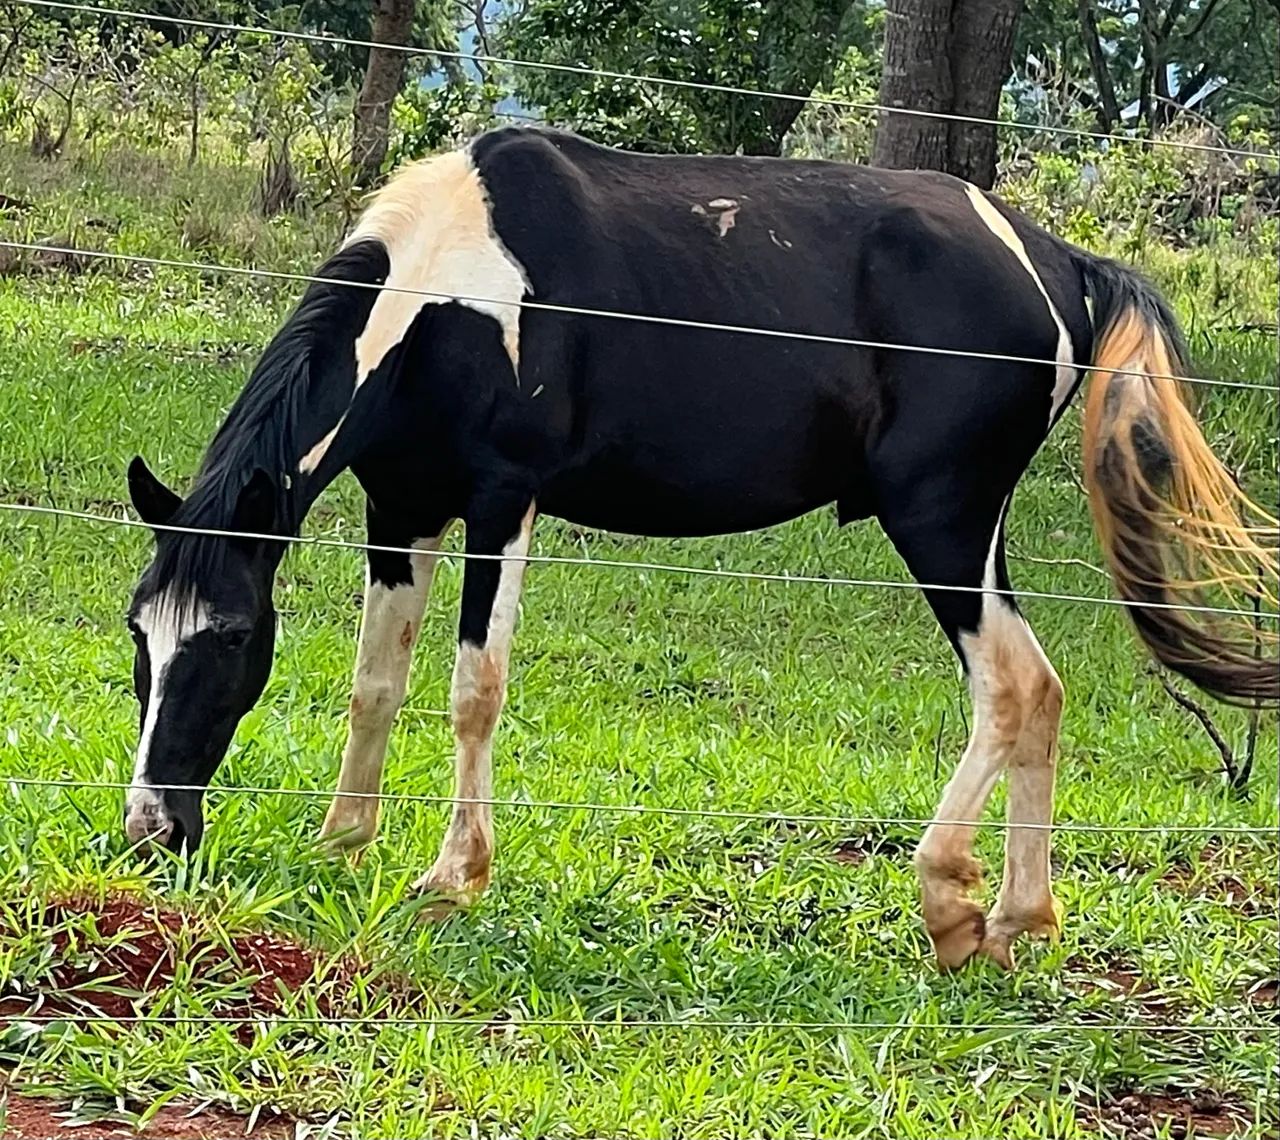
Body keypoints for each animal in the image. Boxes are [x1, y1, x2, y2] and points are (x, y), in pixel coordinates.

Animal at [123, 126, 1277, 971]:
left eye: (230, 638)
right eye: (141, 635)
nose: (152, 830)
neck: (448, 288)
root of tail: (1056, 262)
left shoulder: (503, 503)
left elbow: (472, 691)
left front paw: (452, 879)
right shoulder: (400, 510)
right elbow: (376, 681)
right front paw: (341, 841)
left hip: (938, 521)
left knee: (1011, 686)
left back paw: (948, 906)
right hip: (970, 531)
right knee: (1039, 692)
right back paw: (1016, 921)